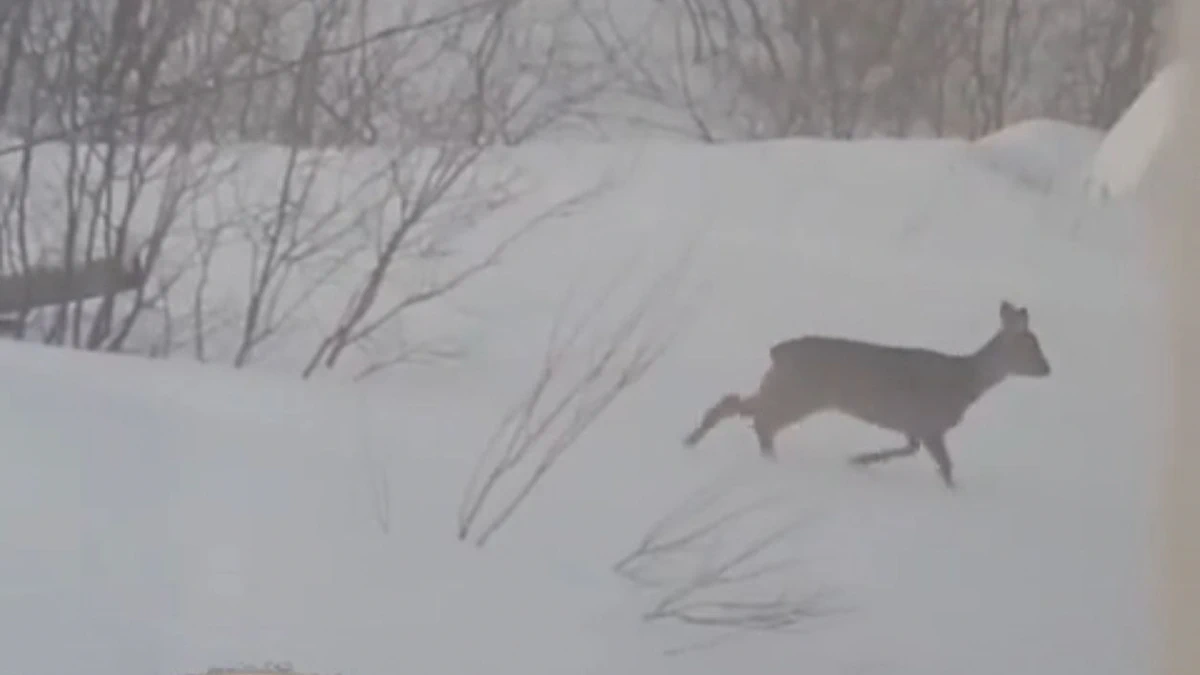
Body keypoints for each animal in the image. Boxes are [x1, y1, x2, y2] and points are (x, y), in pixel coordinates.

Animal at [686, 297, 1051, 482]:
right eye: (1031, 345)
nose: (1048, 369)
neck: (967, 382)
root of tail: (778, 352)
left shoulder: (915, 426)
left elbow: (909, 449)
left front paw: (859, 460)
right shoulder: (931, 424)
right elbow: (945, 466)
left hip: (783, 387)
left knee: (738, 405)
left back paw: (693, 441)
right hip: (798, 393)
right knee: (760, 419)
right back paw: (767, 460)